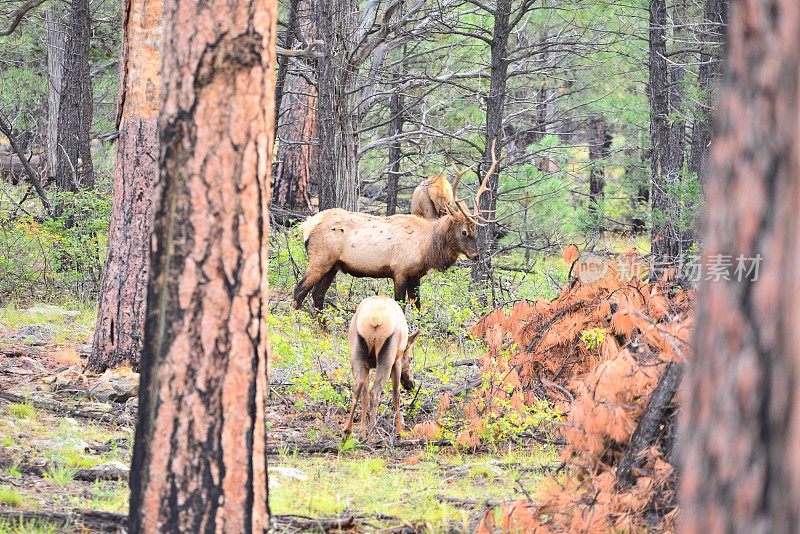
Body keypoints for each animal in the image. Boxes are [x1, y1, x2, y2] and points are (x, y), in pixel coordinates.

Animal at [290, 149, 496, 312]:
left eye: (475, 230)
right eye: (464, 232)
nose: (476, 255)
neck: (427, 248)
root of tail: (307, 226)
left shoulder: (415, 275)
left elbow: (418, 308)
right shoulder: (400, 271)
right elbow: (400, 306)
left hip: (333, 265)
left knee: (318, 295)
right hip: (320, 259)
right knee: (299, 290)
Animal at [344, 298, 422, 440]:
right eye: (410, 358)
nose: (411, 383)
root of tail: (375, 318)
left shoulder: (367, 365)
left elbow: (364, 395)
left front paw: (361, 432)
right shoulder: (397, 362)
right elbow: (396, 394)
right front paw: (400, 431)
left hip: (356, 356)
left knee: (358, 389)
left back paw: (348, 431)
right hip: (386, 359)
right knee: (375, 393)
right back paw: (371, 434)